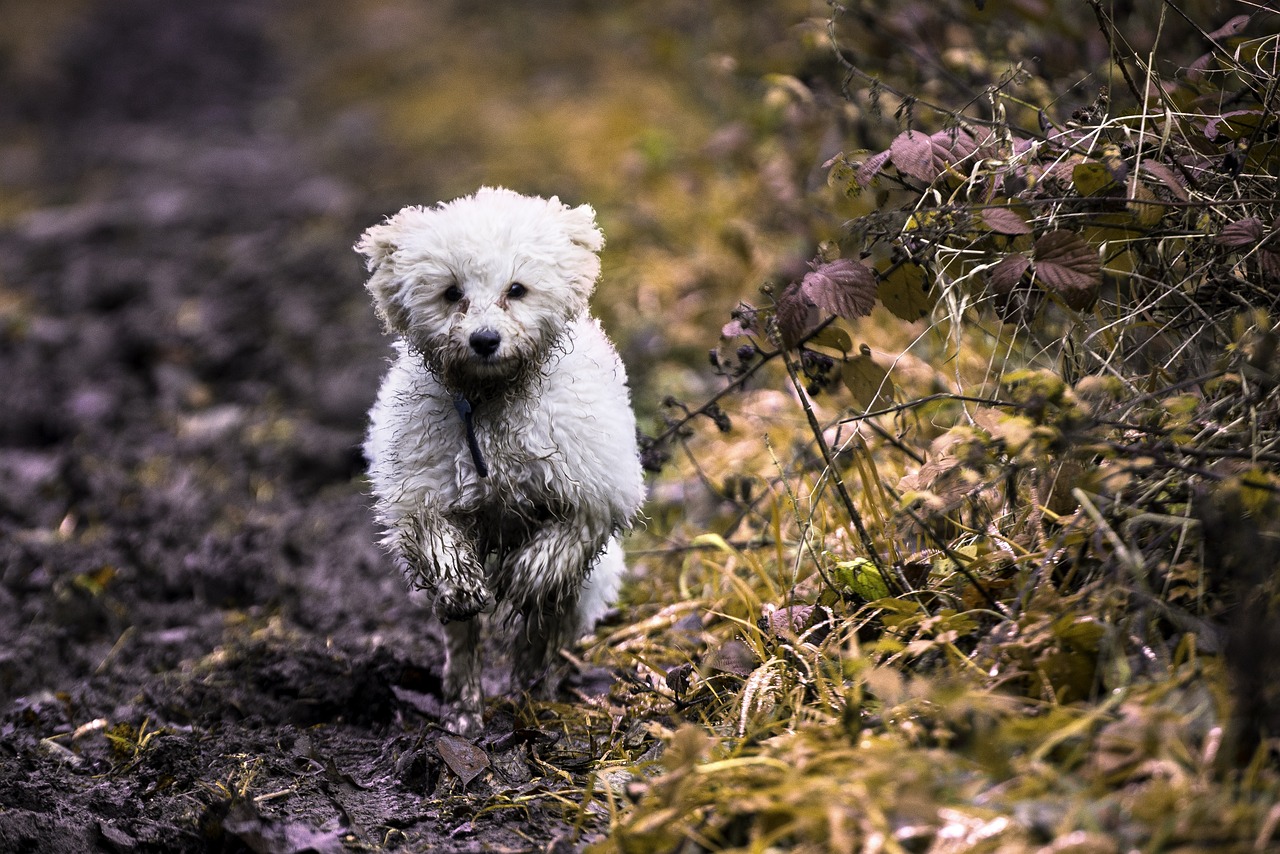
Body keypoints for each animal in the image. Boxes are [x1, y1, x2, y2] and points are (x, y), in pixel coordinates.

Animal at [355, 186, 645, 737]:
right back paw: (465, 707)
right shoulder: (423, 487)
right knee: (464, 643)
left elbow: (564, 540)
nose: (485, 339)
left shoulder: (594, 482)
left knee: (550, 623)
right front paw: (461, 583)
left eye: (517, 288)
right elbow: (438, 539)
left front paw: (527, 574)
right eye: (451, 292)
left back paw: (534, 681)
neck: (492, 401)